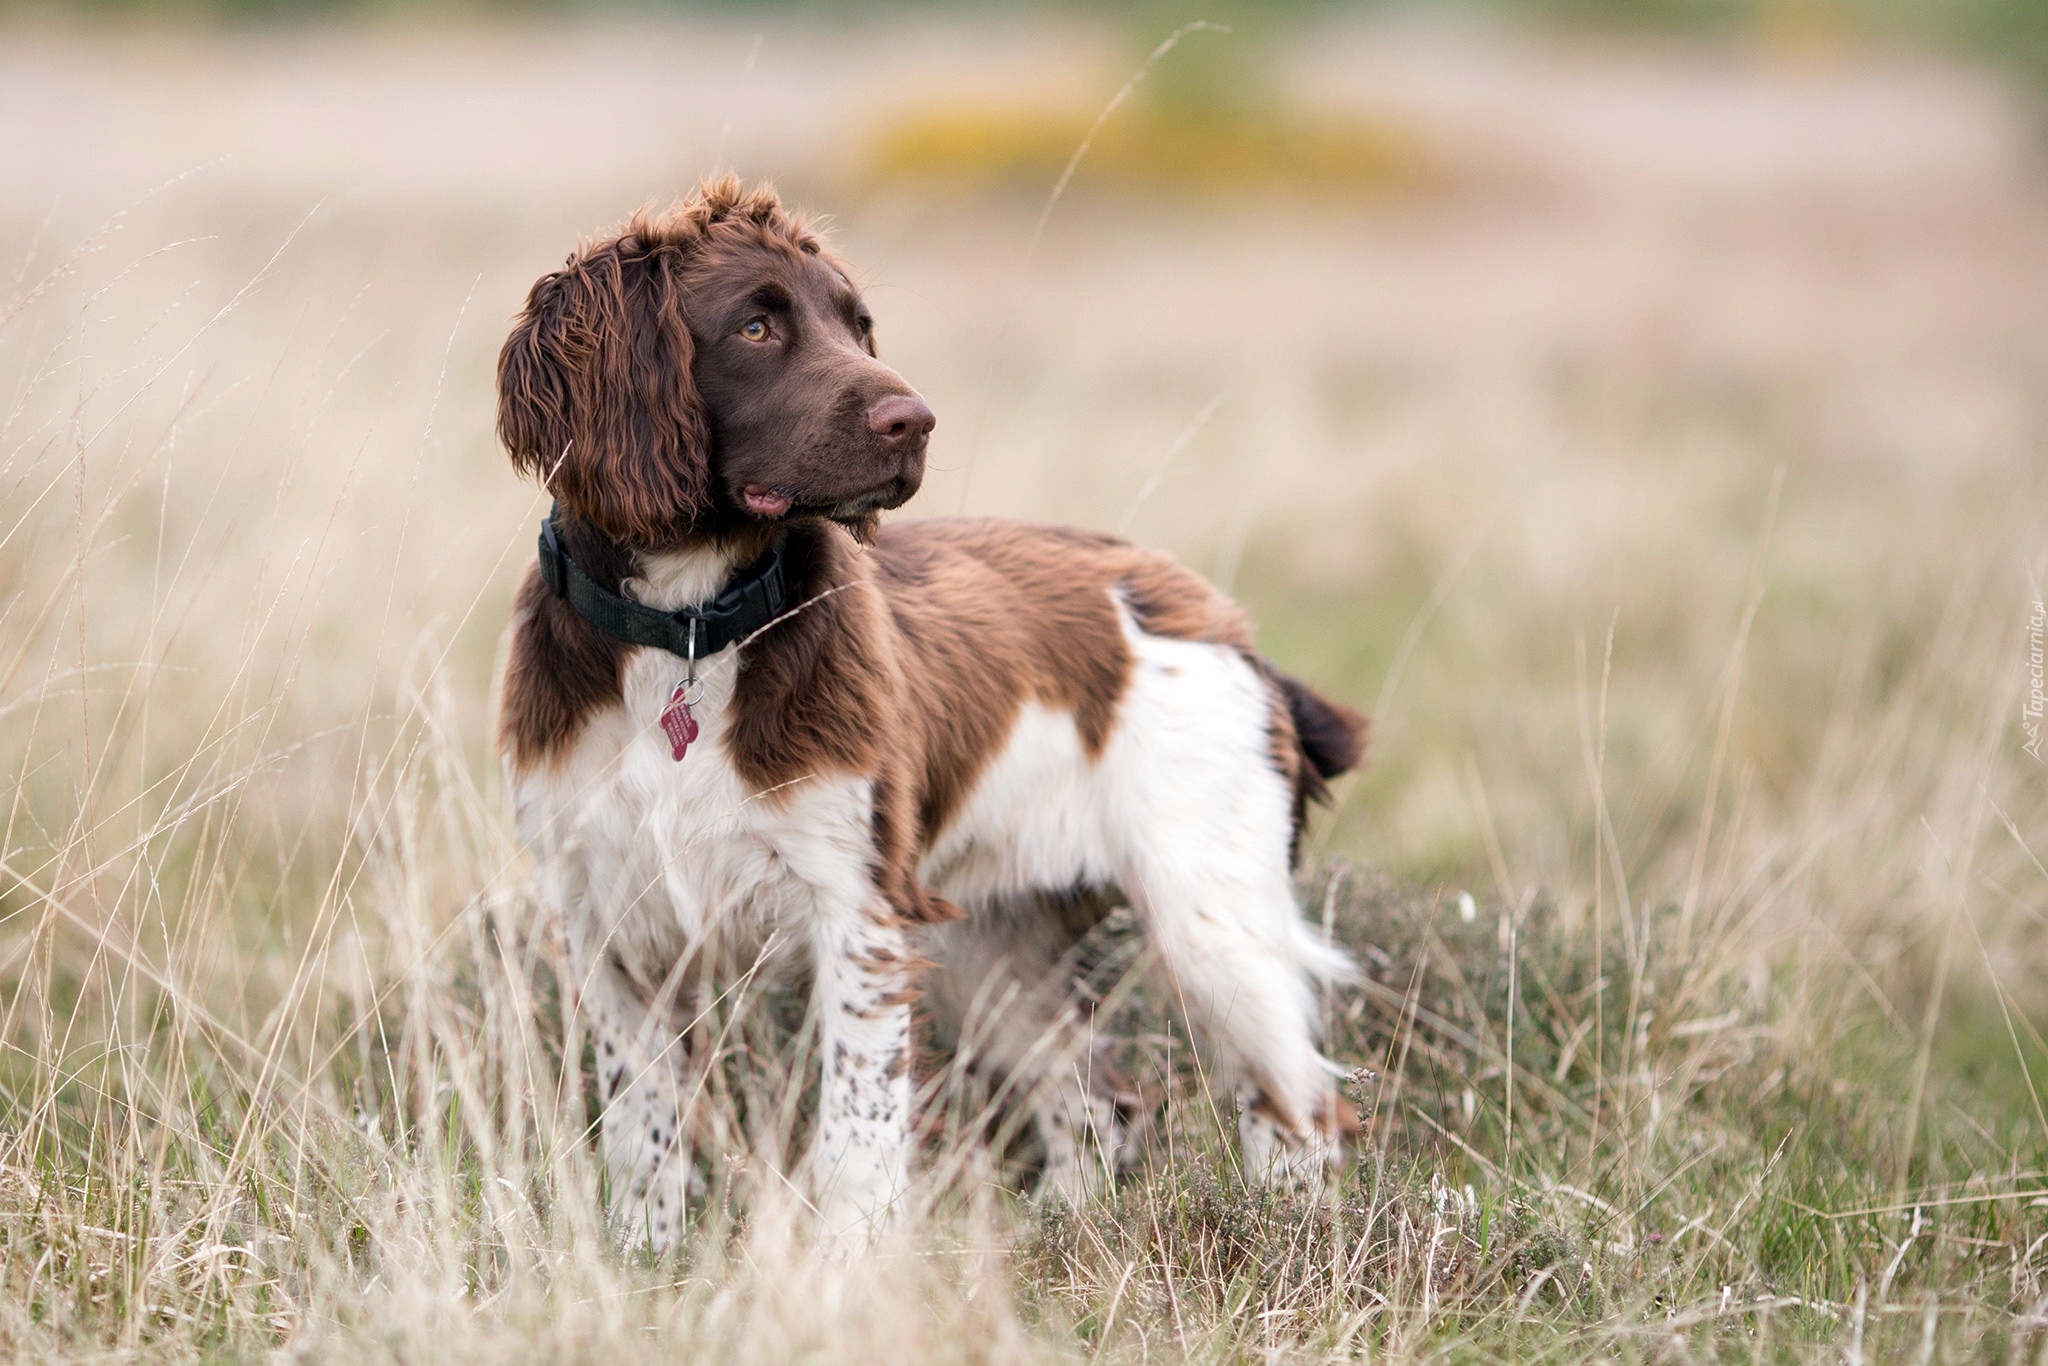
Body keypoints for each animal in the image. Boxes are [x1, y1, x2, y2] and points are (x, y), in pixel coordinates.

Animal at [493, 179, 1368, 1253]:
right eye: (754, 325)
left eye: (857, 324)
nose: (916, 421)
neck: (688, 629)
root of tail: (1230, 627)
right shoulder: (604, 920)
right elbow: (642, 1122)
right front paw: (645, 1254)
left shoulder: (856, 913)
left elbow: (855, 1126)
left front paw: (846, 1261)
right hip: (986, 949)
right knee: (1096, 1098)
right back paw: (1060, 1229)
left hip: (1211, 923)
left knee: (1300, 1113)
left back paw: (1294, 1239)